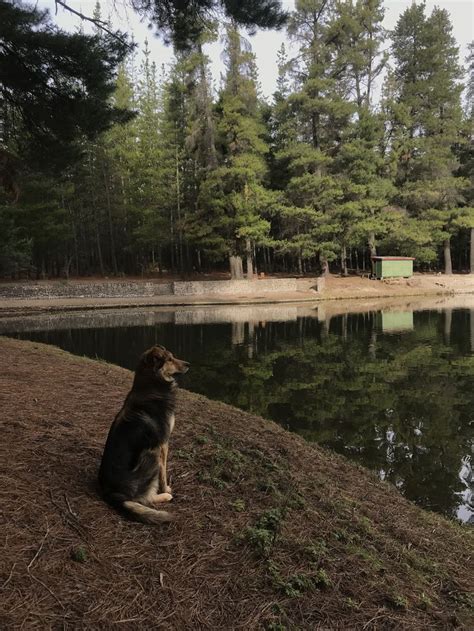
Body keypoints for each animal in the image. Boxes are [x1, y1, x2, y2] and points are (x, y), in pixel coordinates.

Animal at [98, 346, 189, 524]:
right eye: (169, 359)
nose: (189, 364)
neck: (152, 386)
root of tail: (110, 493)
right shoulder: (163, 443)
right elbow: (163, 472)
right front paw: (166, 488)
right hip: (150, 455)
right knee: (143, 499)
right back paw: (165, 496)